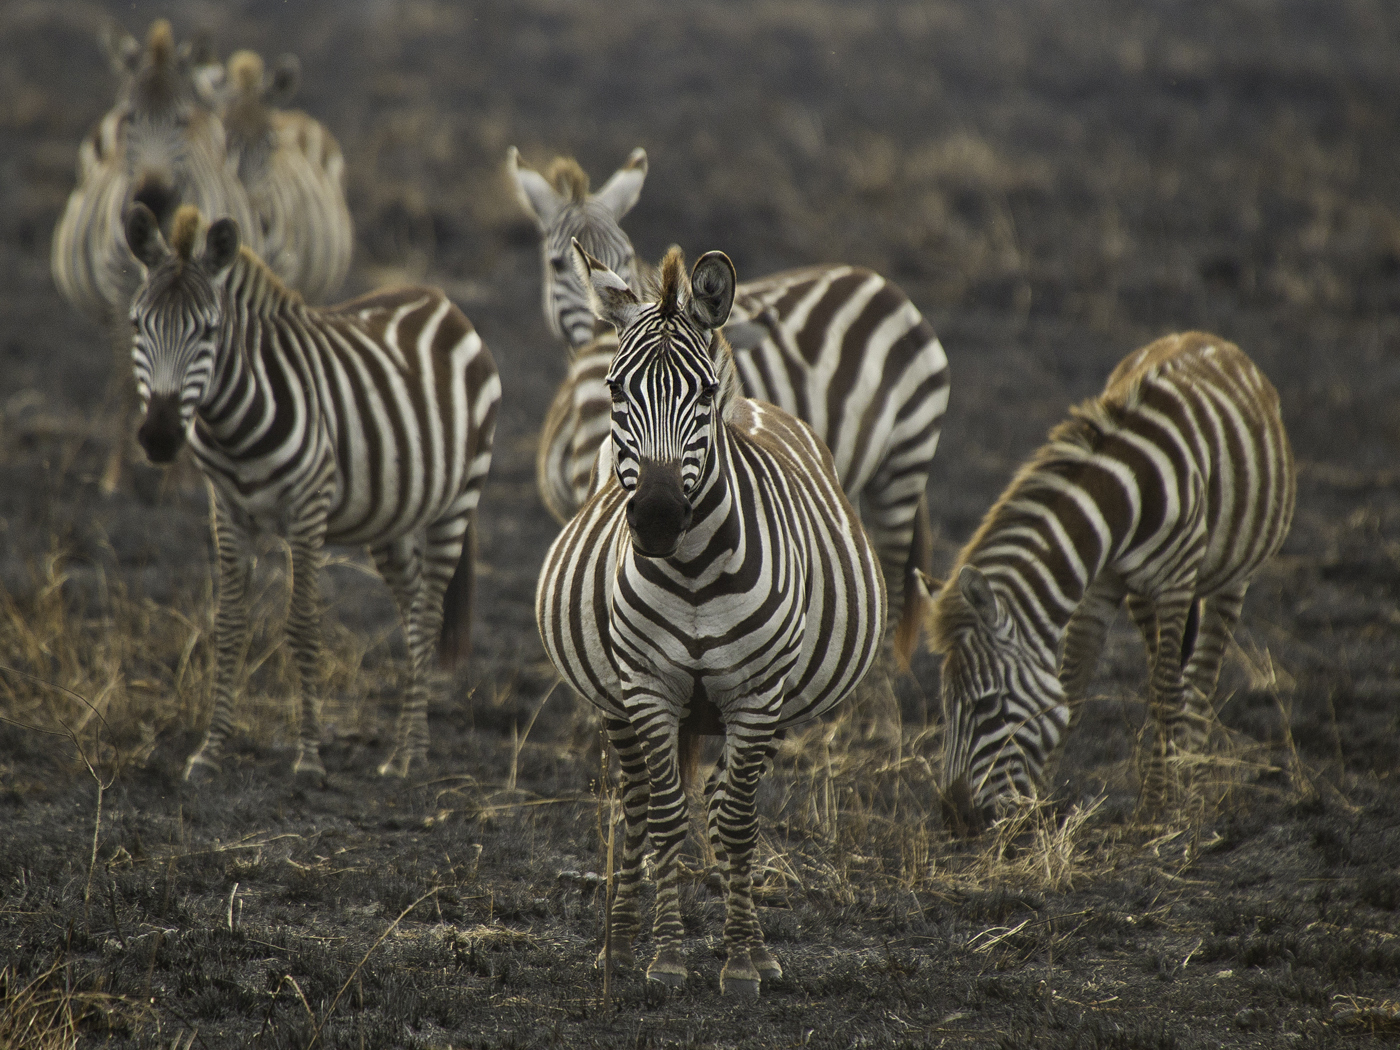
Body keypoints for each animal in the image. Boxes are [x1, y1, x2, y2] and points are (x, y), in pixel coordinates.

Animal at [51, 18, 261, 493]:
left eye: (181, 122)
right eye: (130, 118)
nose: (152, 197)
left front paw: (180, 482)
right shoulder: (120, 294)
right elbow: (129, 382)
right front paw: (116, 478)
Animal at [123, 202, 499, 781]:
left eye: (209, 331)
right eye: (138, 324)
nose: (161, 435)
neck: (233, 424)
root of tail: (443, 300)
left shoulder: (308, 509)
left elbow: (302, 627)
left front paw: (308, 757)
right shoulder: (227, 510)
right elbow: (228, 625)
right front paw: (210, 751)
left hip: (456, 502)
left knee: (431, 612)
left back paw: (410, 756)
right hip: (392, 518)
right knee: (415, 614)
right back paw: (405, 749)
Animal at [510, 147, 948, 665]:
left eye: (629, 255)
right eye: (557, 264)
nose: (606, 332)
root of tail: (877, 280)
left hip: (903, 463)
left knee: (893, 588)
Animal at [536, 243, 886, 995]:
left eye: (699, 395)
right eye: (615, 389)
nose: (658, 518)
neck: (694, 571)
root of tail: (751, 401)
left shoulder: (755, 696)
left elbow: (736, 825)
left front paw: (745, 957)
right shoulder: (648, 690)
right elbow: (669, 820)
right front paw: (666, 955)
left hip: (774, 703)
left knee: (730, 803)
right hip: (615, 701)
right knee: (638, 804)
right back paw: (619, 944)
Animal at [926, 332, 1295, 829]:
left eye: (987, 706)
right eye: (946, 706)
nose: (955, 819)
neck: (1123, 499)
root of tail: (1208, 338)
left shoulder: (1175, 584)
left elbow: (1163, 693)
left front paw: (1157, 808)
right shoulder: (1098, 585)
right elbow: (1075, 684)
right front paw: (1042, 800)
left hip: (1232, 577)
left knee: (1199, 676)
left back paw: (1192, 779)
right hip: (1140, 595)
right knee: (1168, 664)